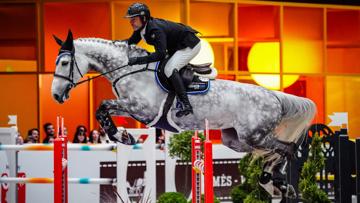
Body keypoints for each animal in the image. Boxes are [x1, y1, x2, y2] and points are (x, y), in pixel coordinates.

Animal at [51, 30, 318, 199]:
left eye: (64, 63)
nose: (55, 95)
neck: (130, 71)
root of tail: (274, 96)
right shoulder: (131, 107)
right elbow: (103, 109)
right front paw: (123, 136)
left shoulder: (140, 109)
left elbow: (103, 106)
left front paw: (122, 136)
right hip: (236, 139)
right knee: (273, 152)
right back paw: (273, 182)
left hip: (254, 135)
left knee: (286, 148)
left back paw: (280, 183)